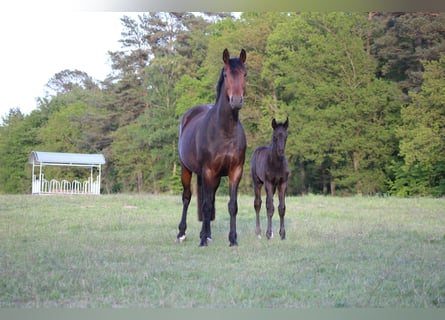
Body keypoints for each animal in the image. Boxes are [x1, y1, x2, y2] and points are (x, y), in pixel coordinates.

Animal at [176, 48, 246, 248]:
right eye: (226, 74)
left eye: (245, 74)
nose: (236, 100)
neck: (225, 131)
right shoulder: (208, 171)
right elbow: (205, 206)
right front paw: (201, 242)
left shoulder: (235, 171)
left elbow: (232, 205)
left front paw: (233, 239)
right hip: (187, 169)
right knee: (187, 197)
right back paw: (182, 233)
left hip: (213, 177)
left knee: (209, 199)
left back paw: (206, 234)